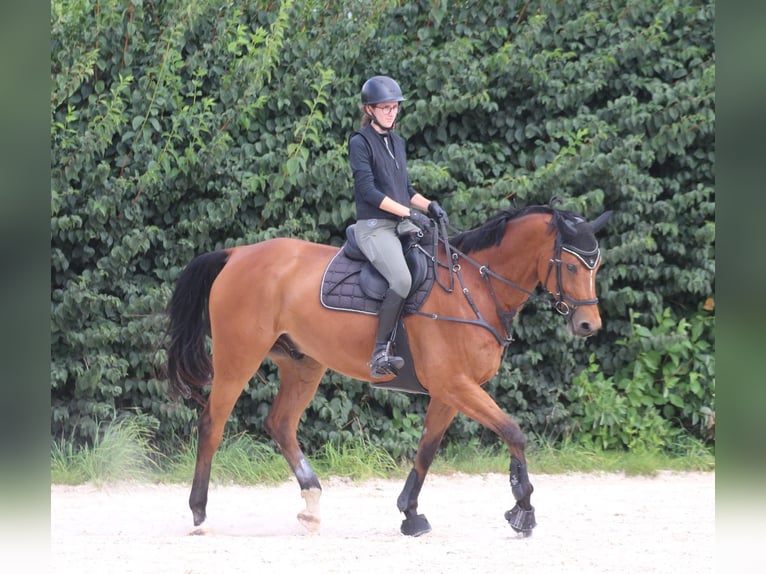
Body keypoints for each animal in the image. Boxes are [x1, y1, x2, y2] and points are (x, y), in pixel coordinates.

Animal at [165, 202, 612, 537]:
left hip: (303, 364)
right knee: (212, 424)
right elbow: (513, 432)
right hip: (238, 358)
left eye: (597, 265)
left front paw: (410, 514)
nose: (588, 326)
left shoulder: (450, 391)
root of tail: (237, 254)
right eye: (572, 266)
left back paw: (311, 504)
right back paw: (199, 513)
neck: (474, 286)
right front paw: (523, 508)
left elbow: (427, 450)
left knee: (280, 424)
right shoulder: (456, 384)